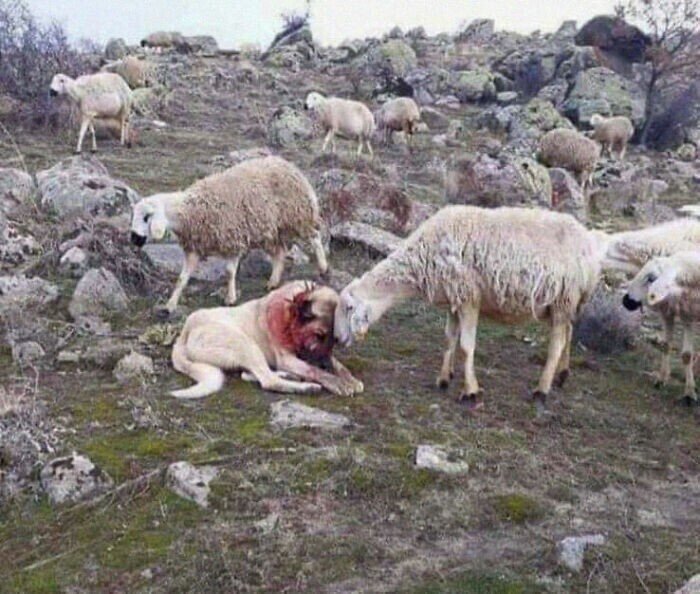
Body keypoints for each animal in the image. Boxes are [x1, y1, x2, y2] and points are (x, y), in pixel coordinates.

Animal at [130, 156, 329, 316]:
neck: (190, 211)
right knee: (280, 252)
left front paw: (230, 298)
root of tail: (286, 163)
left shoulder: (233, 239)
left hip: (299, 215)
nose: (133, 239)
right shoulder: (194, 248)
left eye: (147, 217)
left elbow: (229, 272)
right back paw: (273, 282)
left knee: (315, 237)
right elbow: (182, 278)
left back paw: (323, 267)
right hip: (271, 229)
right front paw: (170, 305)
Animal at [334, 205, 603, 412]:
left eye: (348, 307)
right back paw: (562, 375)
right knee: (568, 333)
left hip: (563, 298)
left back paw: (542, 389)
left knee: (556, 344)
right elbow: (449, 339)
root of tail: (589, 244)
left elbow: (465, 345)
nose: (336, 339)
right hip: (560, 304)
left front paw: (470, 391)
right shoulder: (453, 301)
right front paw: (444, 378)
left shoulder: (468, 298)